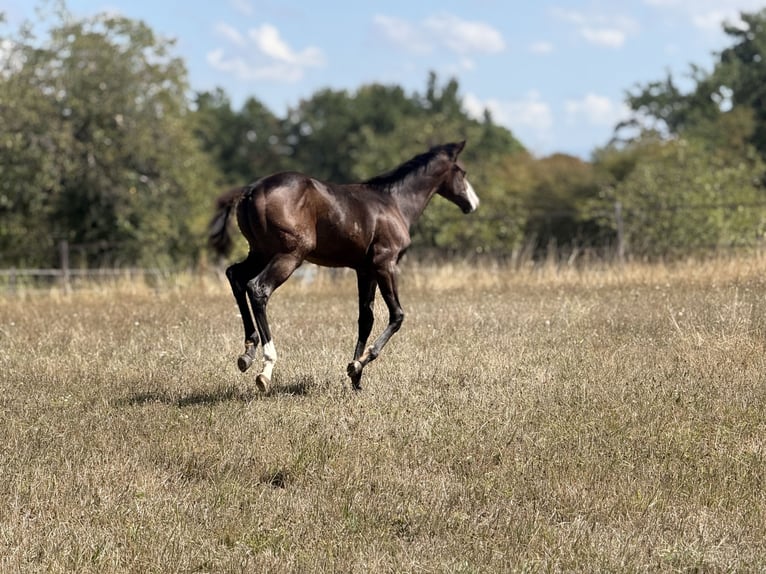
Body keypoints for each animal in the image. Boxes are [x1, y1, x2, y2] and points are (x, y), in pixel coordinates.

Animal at [208, 140, 479, 392]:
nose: (473, 204)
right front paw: (360, 362)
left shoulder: (365, 270)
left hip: (260, 253)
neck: (393, 202)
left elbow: (365, 318)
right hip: (289, 255)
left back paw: (247, 352)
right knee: (258, 288)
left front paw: (355, 374)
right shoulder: (386, 264)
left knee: (235, 276)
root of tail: (251, 190)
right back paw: (266, 367)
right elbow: (397, 315)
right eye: (463, 172)